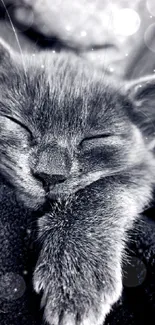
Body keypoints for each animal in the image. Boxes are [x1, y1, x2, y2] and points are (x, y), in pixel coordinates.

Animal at [0, 40, 155, 324]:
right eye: (18, 123)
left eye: (95, 138)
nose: (49, 174)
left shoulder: (145, 166)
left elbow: (104, 187)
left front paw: (76, 277)